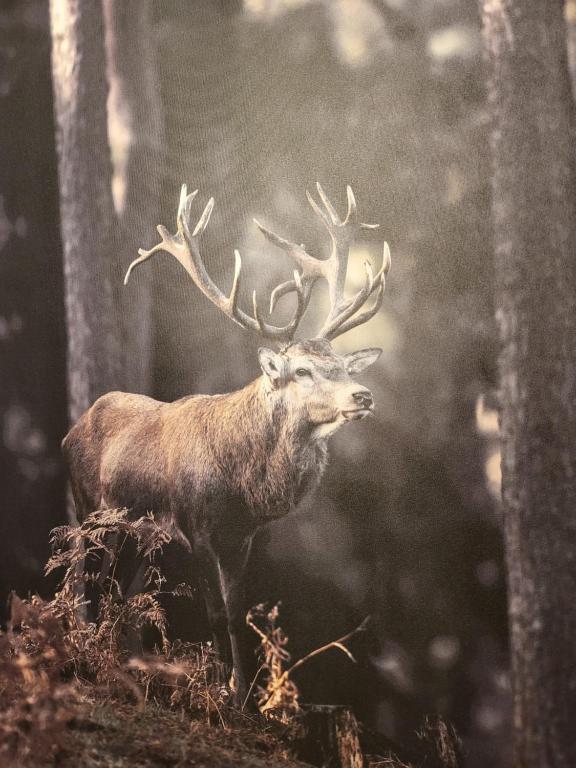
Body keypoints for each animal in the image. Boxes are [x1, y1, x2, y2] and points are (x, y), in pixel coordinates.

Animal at [60, 182, 390, 708]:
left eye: (341, 365)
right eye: (301, 370)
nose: (363, 395)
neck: (242, 485)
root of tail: (73, 427)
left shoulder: (242, 537)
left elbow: (237, 614)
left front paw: (246, 698)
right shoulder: (192, 526)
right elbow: (214, 614)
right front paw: (216, 693)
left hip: (136, 534)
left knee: (116, 589)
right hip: (89, 505)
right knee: (85, 579)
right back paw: (88, 653)